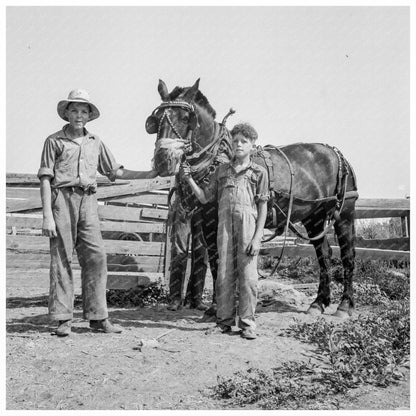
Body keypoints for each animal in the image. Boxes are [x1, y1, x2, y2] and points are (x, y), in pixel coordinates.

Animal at [145, 79, 358, 318]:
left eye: (185, 118)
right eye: (156, 120)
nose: (163, 160)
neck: (217, 159)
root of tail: (337, 154)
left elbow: (220, 258)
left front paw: (220, 306)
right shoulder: (208, 220)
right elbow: (215, 258)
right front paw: (217, 305)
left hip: (345, 214)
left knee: (347, 255)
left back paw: (344, 305)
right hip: (314, 217)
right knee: (324, 253)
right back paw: (319, 302)